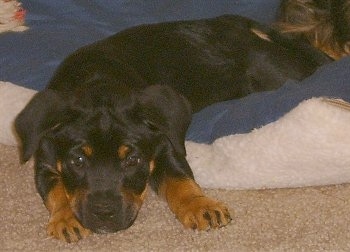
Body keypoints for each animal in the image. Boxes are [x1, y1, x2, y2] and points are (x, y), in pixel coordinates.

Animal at [14, 13, 330, 242]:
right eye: (78, 160)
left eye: (133, 160)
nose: (105, 215)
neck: (98, 83)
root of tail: (238, 23)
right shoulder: (44, 159)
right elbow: (56, 190)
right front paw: (66, 218)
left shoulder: (165, 145)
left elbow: (180, 180)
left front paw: (201, 206)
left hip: (271, 70)